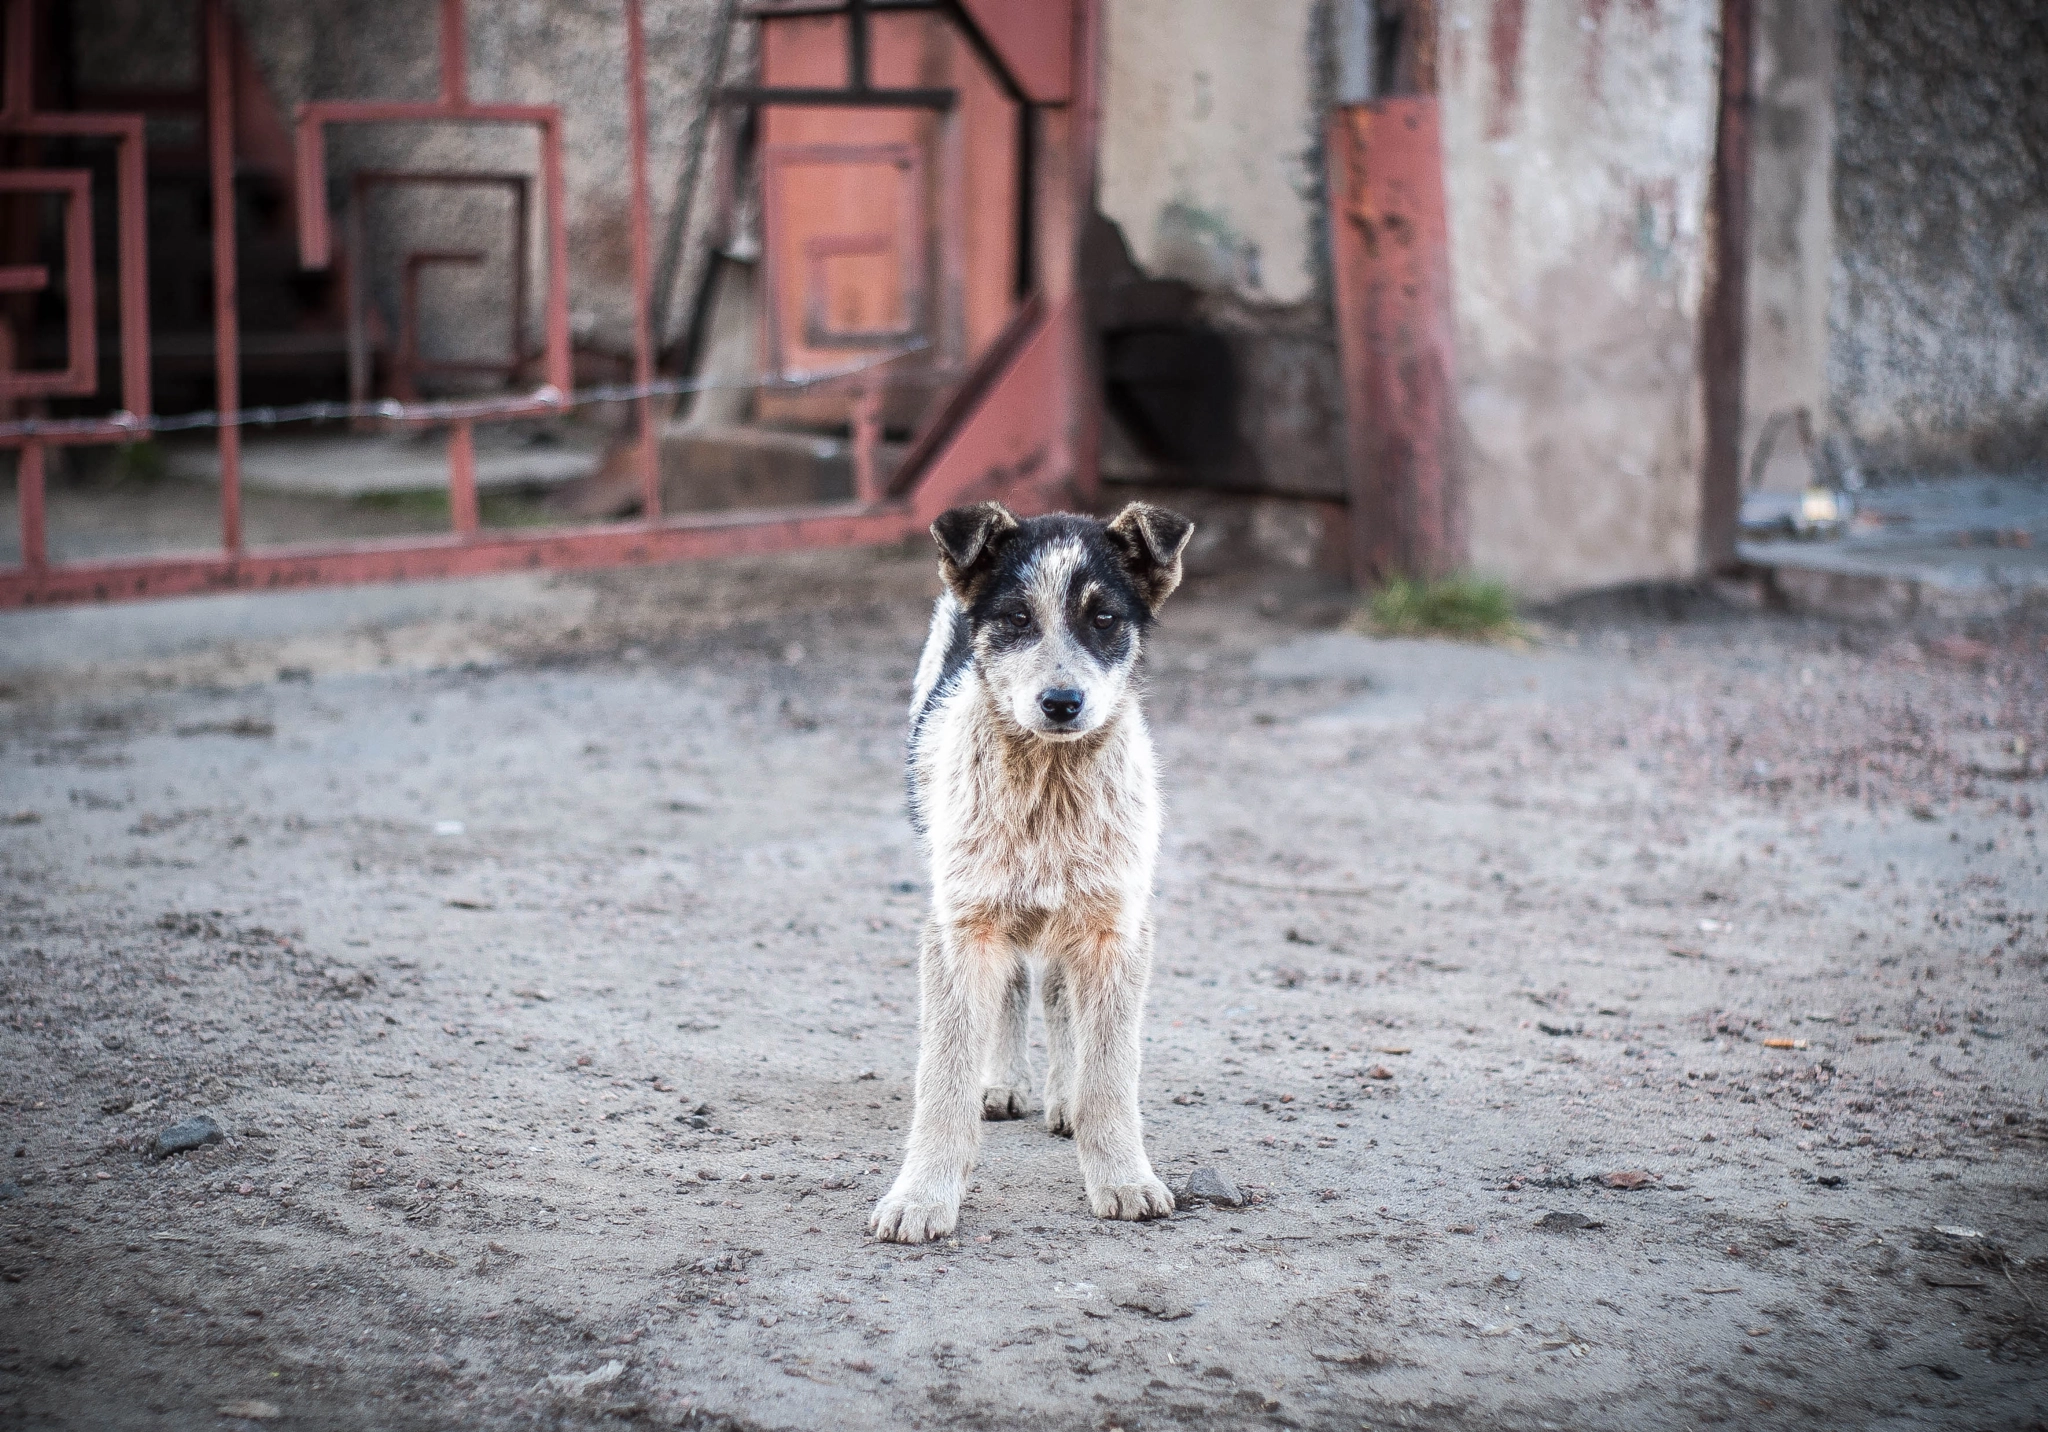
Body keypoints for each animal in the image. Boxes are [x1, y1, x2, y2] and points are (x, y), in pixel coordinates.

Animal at [868, 501, 1196, 1245]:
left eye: (1103, 618)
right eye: (1016, 618)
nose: (1062, 701)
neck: (1049, 785)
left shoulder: (1116, 929)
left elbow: (1110, 1073)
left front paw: (1124, 1178)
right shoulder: (960, 926)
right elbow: (944, 1077)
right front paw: (922, 1195)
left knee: (1057, 991)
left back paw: (1063, 1095)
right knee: (1018, 983)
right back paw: (1005, 1083)